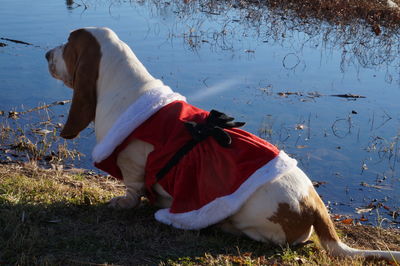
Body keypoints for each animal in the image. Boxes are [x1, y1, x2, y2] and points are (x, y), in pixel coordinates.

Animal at [45, 27, 398, 262]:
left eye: (67, 45)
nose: (46, 53)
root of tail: (314, 204)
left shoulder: (133, 163)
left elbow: (133, 190)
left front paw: (122, 203)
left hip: (250, 218)